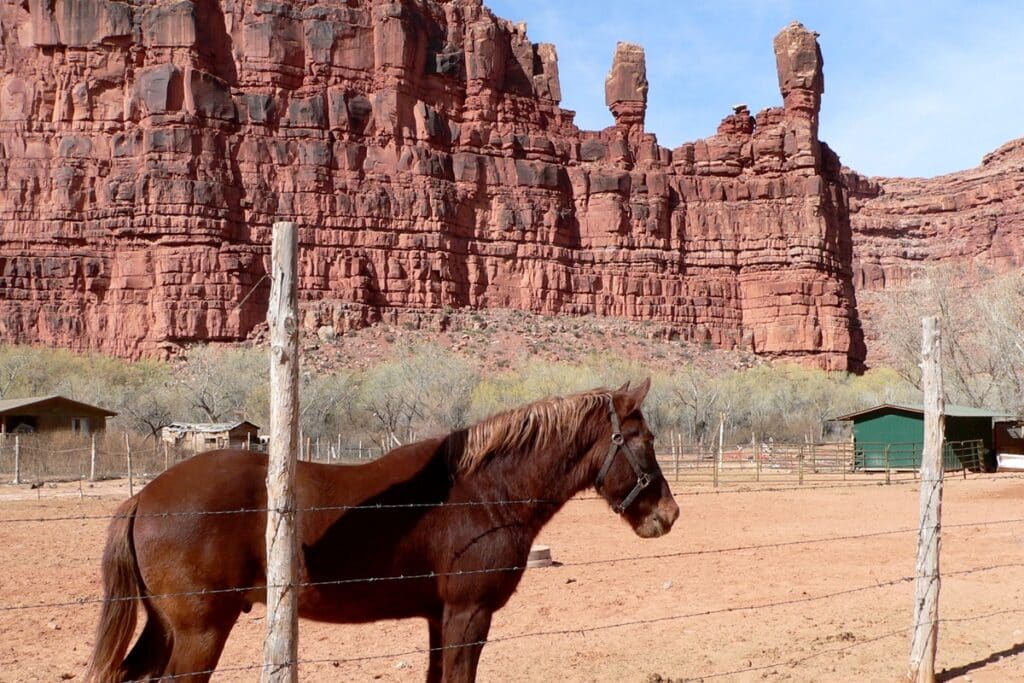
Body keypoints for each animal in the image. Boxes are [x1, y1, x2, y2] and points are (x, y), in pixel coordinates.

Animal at [88, 382, 675, 679]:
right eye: (642, 438)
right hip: (200, 631)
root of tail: (144, 497)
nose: (667, 514)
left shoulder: (440, 617)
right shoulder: (468, 614)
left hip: (167, 627)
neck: (484, 492)